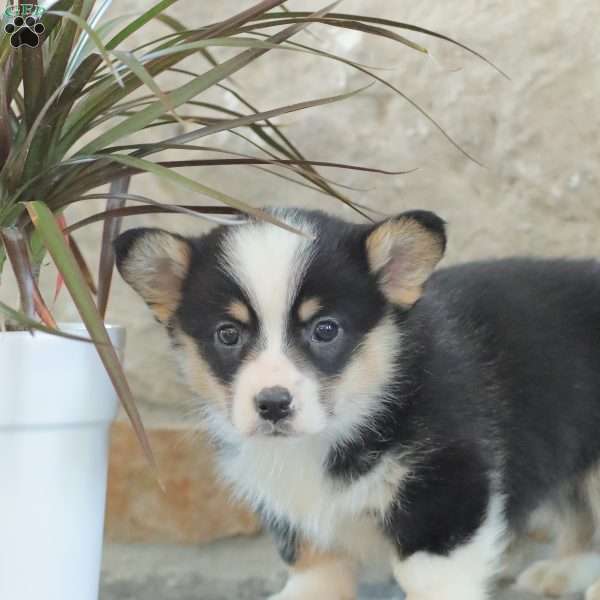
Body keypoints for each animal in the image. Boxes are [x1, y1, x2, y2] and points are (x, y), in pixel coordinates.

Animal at [112, 207, 600, 600]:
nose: (273, 404)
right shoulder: (292, 507)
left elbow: (431, 576)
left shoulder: (446, 485)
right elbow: (313, 561)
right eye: (227, 334)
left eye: (325, 329)